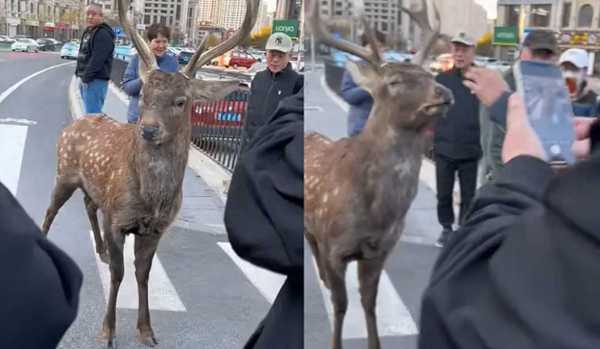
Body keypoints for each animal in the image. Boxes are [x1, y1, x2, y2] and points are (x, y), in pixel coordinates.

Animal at [41, 0, 258, 346]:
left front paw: (146, 330)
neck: (152, 198)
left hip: (95, 188)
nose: (149, 129)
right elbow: (118, 275)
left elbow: (143, 275)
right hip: (64, 171)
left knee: (89, 205)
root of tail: (75, 123)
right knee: (50, 210)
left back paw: (100, 250)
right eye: (143, 94)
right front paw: (108, 330)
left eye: (181, 101)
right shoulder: (118, 219)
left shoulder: (155, 229)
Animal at [302, 1, 452, 346]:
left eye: (428, 74)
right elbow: (341, 306)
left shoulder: (380, 251)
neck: (378, 213)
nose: (444, 92)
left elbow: (370, 305)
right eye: (394, 82)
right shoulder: (335, 247)